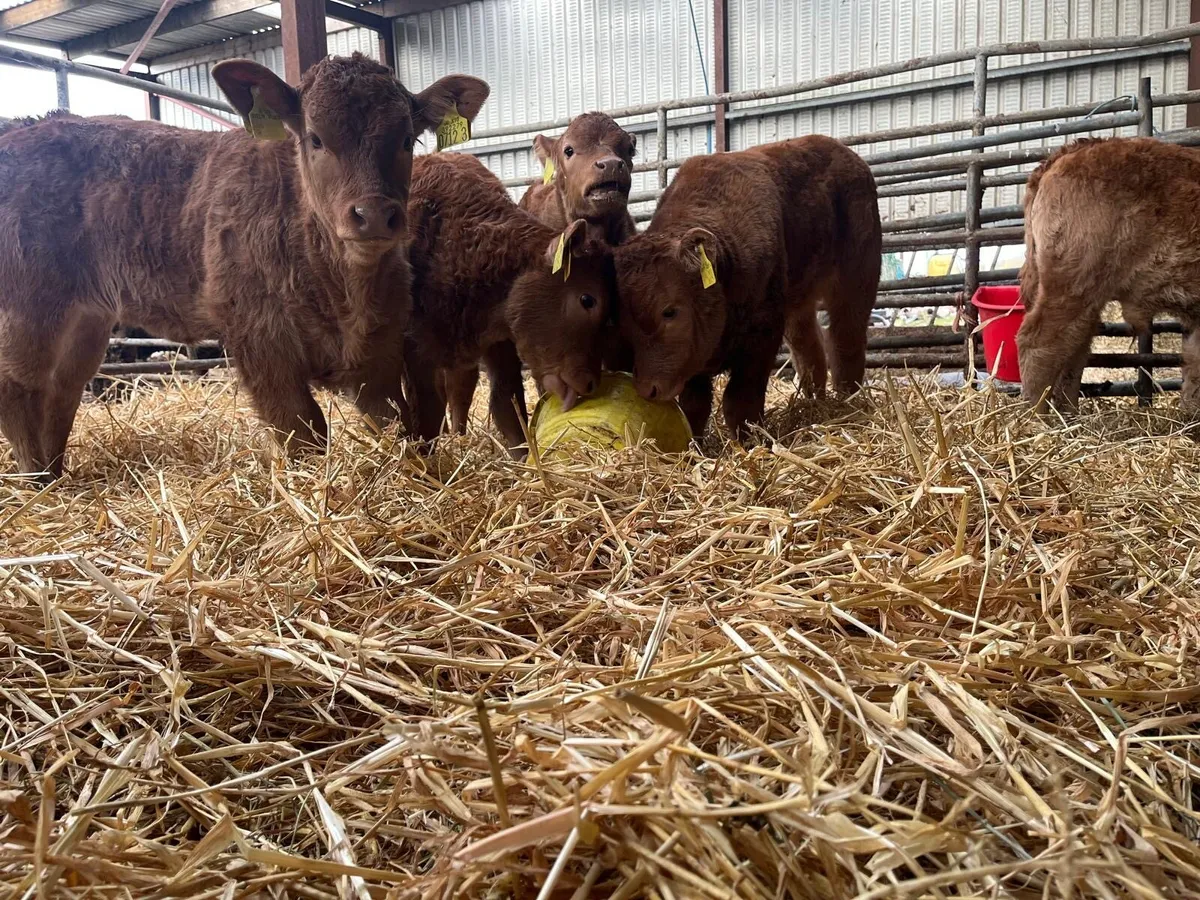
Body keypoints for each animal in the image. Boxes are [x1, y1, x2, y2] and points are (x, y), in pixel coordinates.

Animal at [0, 54, 488, 479]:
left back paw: (55, 475)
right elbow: (302, 430)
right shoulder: (258, 340)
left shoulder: (379, 349)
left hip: (86, 317)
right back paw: (36, 481)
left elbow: (398, 424)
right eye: (315, 138)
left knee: (63, 389)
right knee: (19, 387)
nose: (374, 214)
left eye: (407, 139)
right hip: (29, 307)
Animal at [403, 152, 617, 452]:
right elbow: (425, 411)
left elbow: (507, 405)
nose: (589, 383)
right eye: (588, 299)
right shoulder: (415, 349)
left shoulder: (501, 340)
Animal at [613, 136, 881, 440]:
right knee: (808, 348)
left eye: (670, 312)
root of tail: (846, 153)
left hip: (857, 276)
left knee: (846, 338)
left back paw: (847, 401)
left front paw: (749, 439)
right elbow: (695, 404)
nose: (648, 388)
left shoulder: (762, 336)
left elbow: (740, 400)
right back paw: (814, 400)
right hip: (797, 300)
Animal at [1017, 137, 1200, 416]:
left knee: (1073, 350)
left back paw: (1068, 416)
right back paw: (1035, 418)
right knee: (1039, 344)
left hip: (1084, 297)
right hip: (1072, 286)